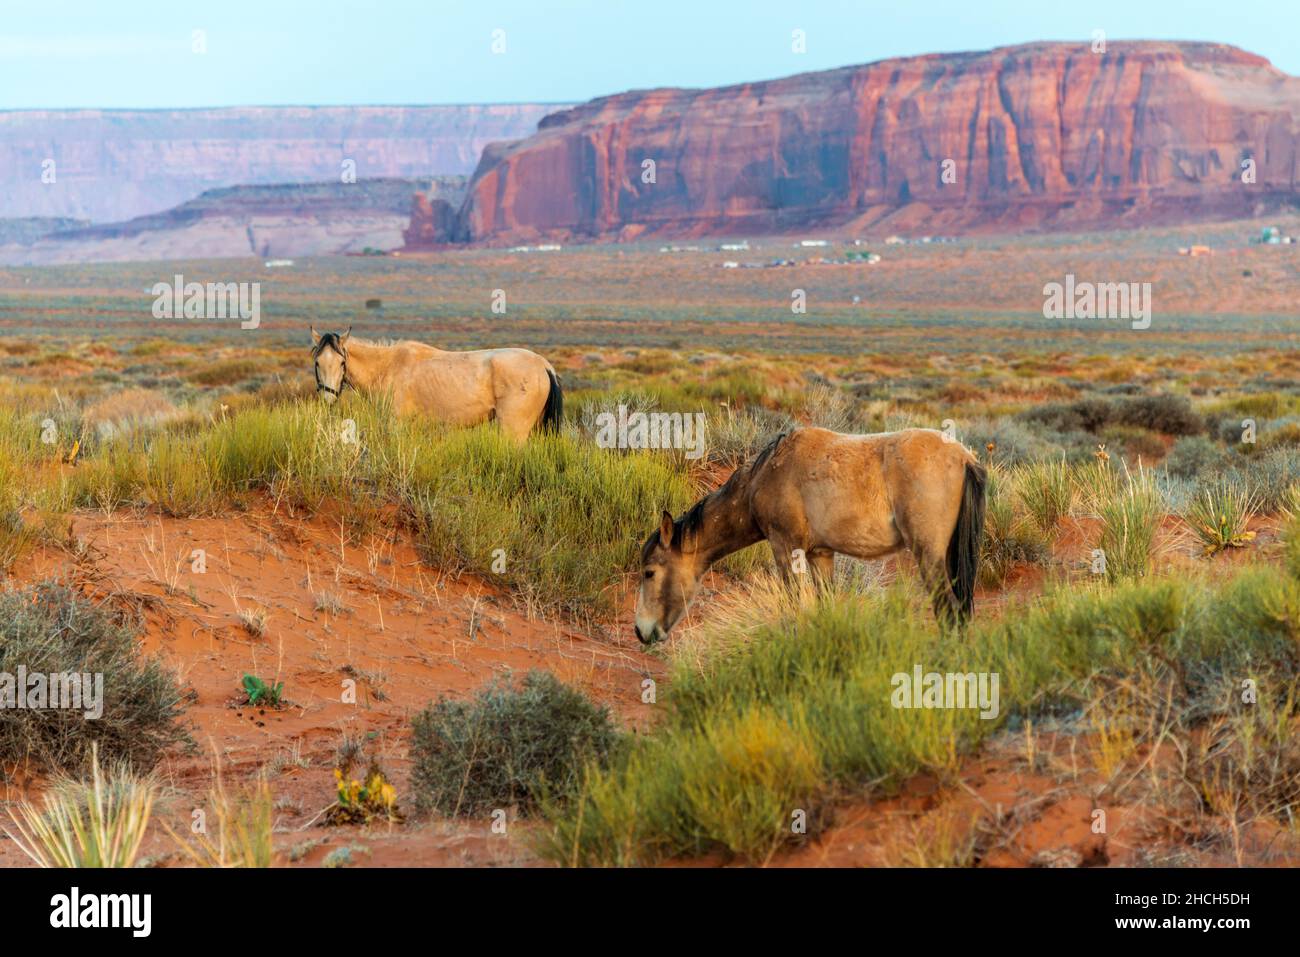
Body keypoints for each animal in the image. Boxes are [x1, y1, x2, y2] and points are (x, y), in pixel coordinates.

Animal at [314, 325, 564, 436]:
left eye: (342, 363)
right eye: (317, 362)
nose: (328, 398)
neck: (388, 366)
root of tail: (544, 365)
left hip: (514, 429)